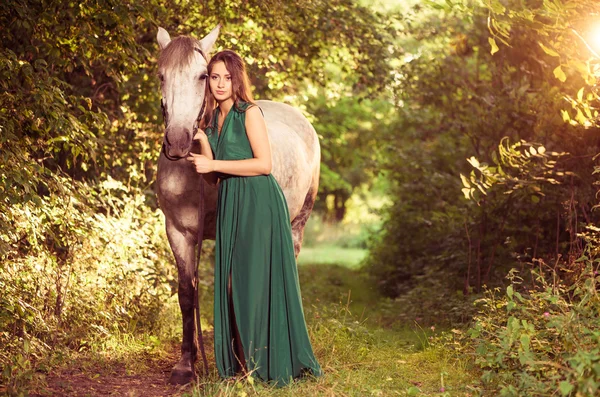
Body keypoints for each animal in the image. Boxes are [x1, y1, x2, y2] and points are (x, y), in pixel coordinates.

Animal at [157, 25, 322, 384]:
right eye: (161, 76)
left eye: (202, 75)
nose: (177, 142)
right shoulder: (177, 231)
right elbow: (186, 293)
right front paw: (186, 365)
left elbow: (233, 289)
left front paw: (238, 363)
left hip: (298, 222)